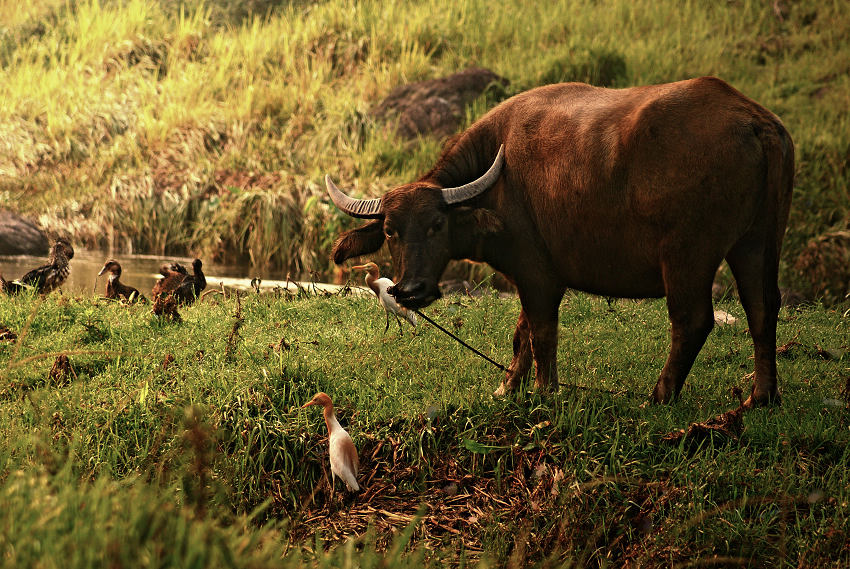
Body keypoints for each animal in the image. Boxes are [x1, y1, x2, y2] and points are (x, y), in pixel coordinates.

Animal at [326, 77, 796, 406]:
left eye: (437, 225)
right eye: (390, 230)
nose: (410, 291)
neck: (497, 182)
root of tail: (756, 121)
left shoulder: (538, 276)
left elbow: (541, 333)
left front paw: (544, 393)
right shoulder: (532, 274)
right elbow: (522, 332)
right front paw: (507, 388)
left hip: (687, 255)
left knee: (693, 321)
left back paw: (659, 397)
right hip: (757, 241)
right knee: (762, 307)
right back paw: (761, 397)